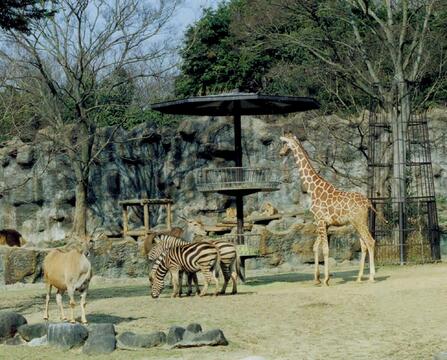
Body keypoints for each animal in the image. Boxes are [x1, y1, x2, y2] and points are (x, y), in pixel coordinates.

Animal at [282, 131, 376, 286]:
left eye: (284, 143)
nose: (280, 152)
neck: (313, 189)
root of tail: (368, 203)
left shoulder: (320, 221)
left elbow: (325, 249)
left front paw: (326, 279)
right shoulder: (324, 223)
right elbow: (316, 247)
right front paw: (317, 279)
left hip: (359, 222)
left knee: (370, 241)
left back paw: (371, 277)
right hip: (360, 223)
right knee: (364, 244)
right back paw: (359, 277)